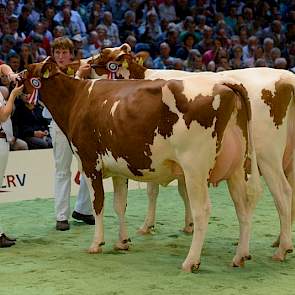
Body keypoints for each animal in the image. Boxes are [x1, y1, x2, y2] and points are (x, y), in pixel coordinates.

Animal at [21, 58, 262, 272]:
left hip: (195, 169)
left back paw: (191, 262)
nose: (15, 80)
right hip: (236, 168)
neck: (77, 99)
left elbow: (98, 204)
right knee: (243, 207)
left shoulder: (89, 163)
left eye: (27, 70)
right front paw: (122, 242)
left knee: (202, 211)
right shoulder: (118, 168)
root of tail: (224, 83)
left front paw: (96, 243)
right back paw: (240, 256)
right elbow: (120, 204)